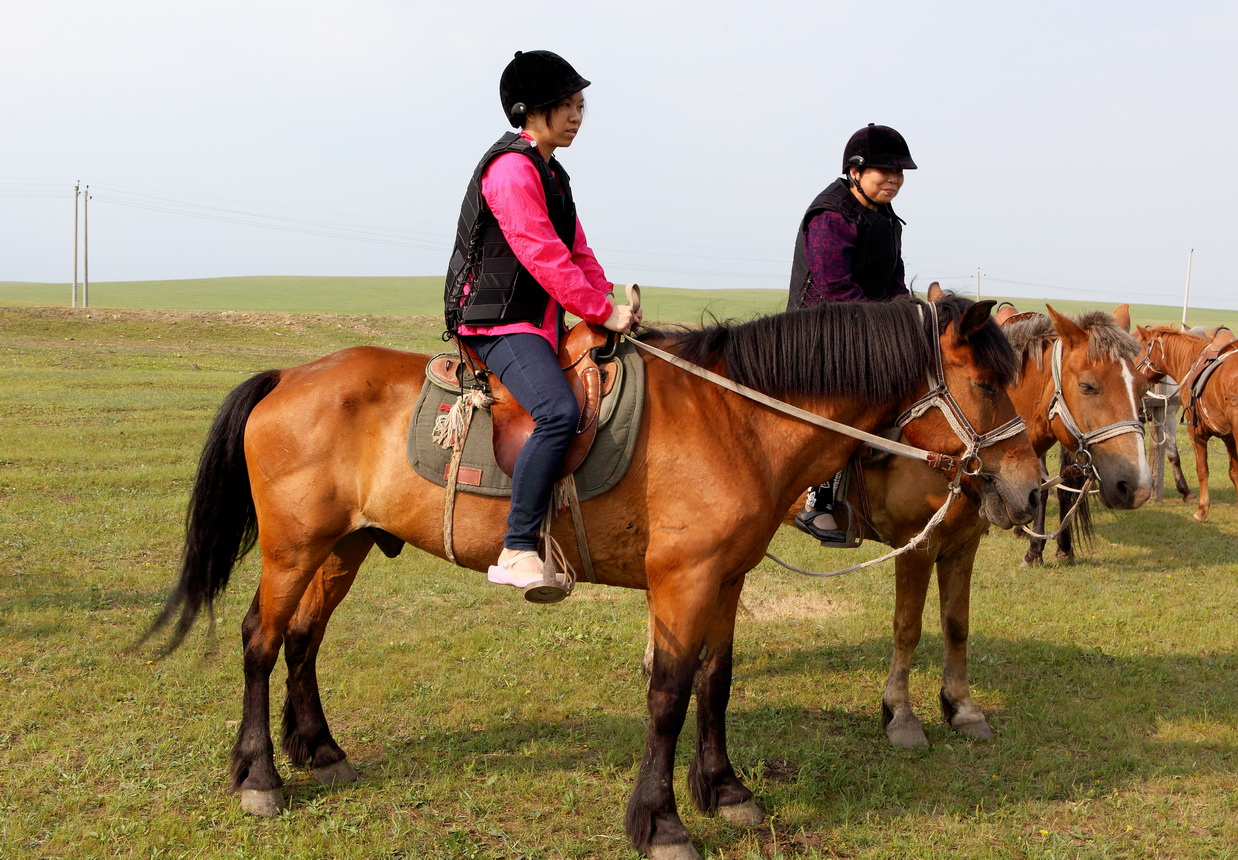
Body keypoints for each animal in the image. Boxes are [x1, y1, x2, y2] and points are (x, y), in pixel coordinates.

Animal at [149, 293, 1049, 856]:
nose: (1032, 489)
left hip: (347, 545)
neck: (736, 418)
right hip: (293, 549)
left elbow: (716, 683)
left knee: (304, 639)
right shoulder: (683, 582)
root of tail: (290, 376)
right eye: (987, 381)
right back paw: (259, 776)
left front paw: (725, 790)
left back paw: (320, 749)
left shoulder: (726, 580)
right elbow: (668, 695)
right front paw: (662, 824)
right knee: (261, 640)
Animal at [836, 300, 1143, 747]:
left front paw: (961, 707)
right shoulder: (917, 546)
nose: (1135, 484)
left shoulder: (962, 545)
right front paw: (900, 714)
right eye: (1089, 387)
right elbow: (908, 627)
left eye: (1142, 386)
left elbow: (956, 624)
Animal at [1134, 326, 1238, 522]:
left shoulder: (1195, 431)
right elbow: (1234, 471)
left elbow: (1202, 469)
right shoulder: (1228, 437)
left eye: (1141, 348)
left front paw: (1201, 510)